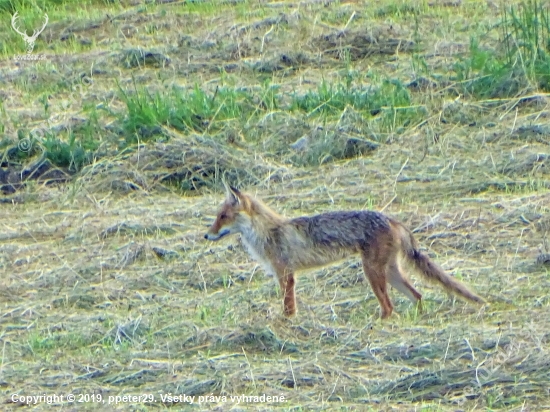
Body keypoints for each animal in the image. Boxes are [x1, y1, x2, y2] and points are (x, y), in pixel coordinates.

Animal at [205, 185, 486, 320]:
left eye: (222, 217)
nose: (206, 235)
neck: (267, 233)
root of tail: (392, 219)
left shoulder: (286, 275)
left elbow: (288, 307)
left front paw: (286, 325)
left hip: (372, 272)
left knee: (389, 307)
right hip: (390, 273)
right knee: (416, 296)